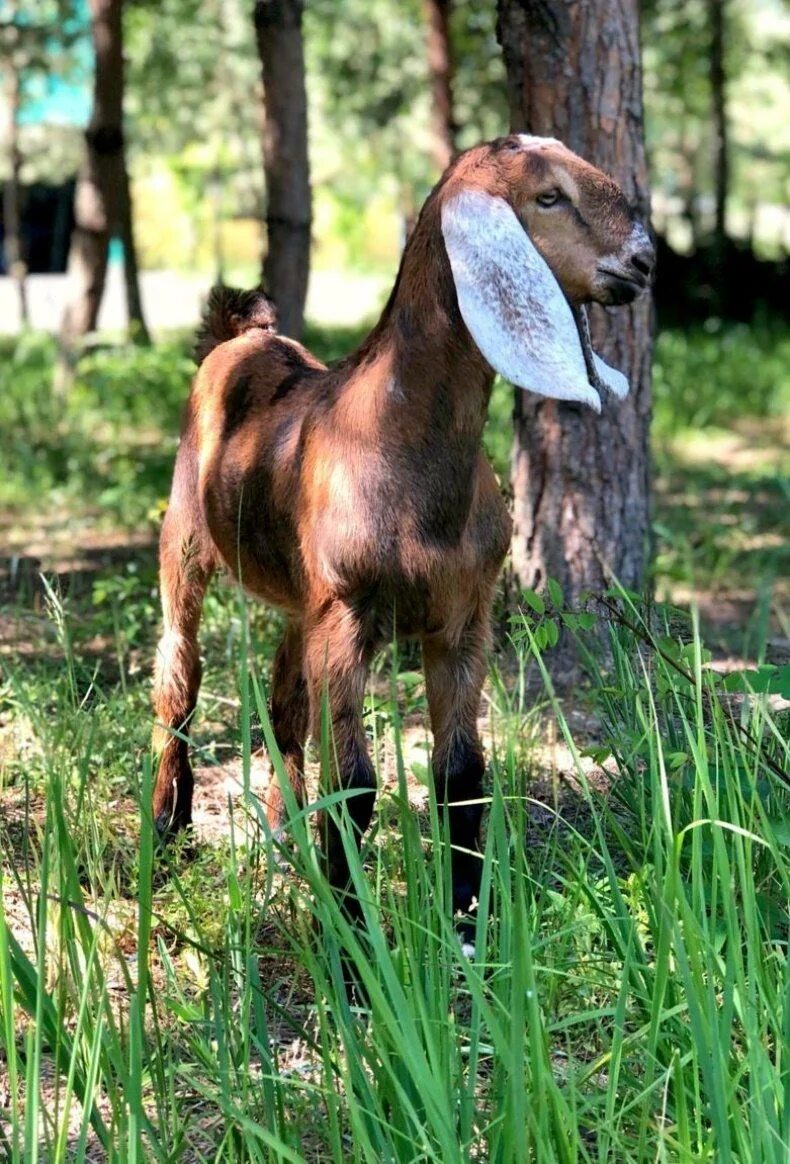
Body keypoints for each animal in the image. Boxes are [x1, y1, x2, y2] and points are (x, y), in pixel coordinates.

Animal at [152, 136, 656, 931]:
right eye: (548, 195)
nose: (643, 261)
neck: (394, 439)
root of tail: (243, 336)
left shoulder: (461, 619)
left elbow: (461, 773)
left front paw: (466, 923)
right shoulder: (348, 615)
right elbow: (355, 781)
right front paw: (351, 939)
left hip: (300, 596)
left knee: (284, 701)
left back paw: (286, 836)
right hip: (185, 542)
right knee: (179, 679)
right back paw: (168, 829)